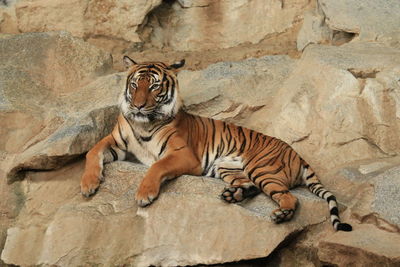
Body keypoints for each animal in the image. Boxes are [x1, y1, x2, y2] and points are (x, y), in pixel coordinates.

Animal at [79, 56, 352, 232]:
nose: (137, 106)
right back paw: (232, 195)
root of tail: (298, 155)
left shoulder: (184, 154)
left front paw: (144, 195)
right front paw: (88, 185)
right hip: (228, 167)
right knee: (250, 186)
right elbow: (92, 152)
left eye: (154, 86)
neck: (143, 123)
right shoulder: (115, 142)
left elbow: (157, 166)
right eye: (135, 84)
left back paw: (280, 214)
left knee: (289, 197)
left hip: (261, 167)